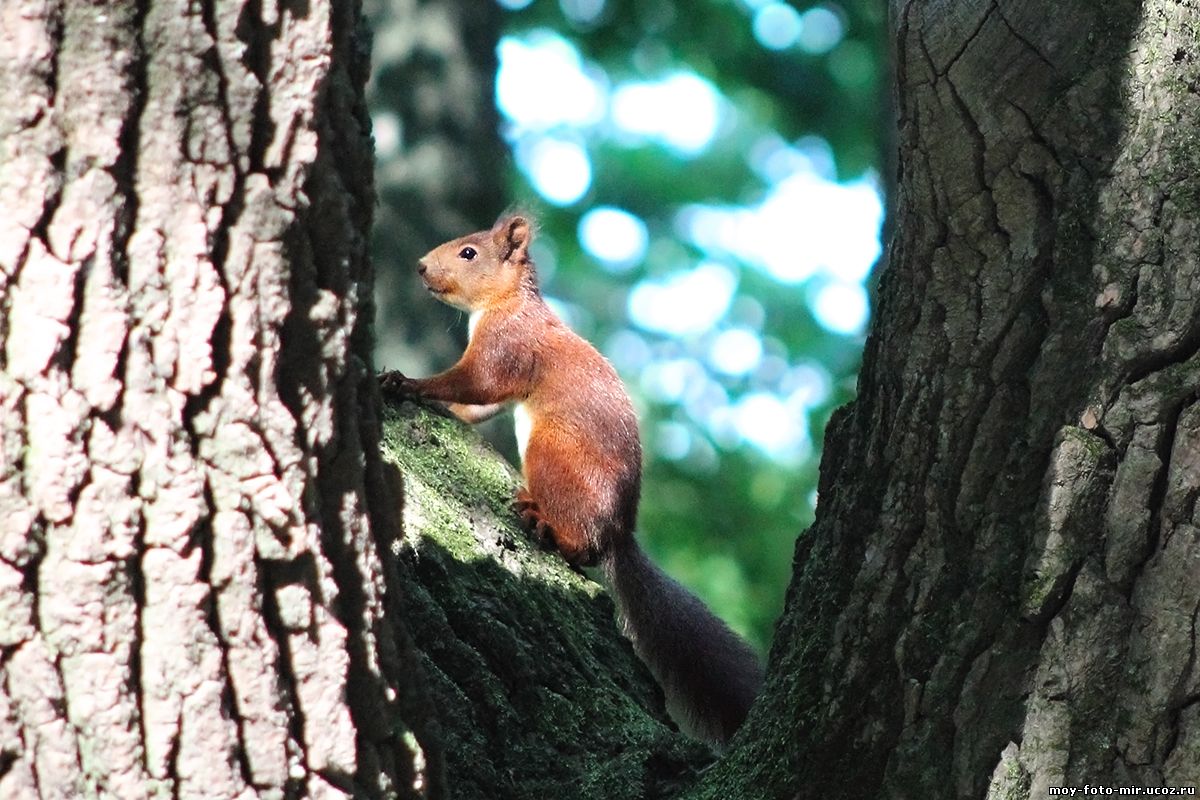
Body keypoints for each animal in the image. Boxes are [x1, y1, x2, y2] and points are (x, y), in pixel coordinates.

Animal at [379, 215, 763, 748]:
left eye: (469, 253)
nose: (419, 267)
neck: (506, 303)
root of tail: (618, 532)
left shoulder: (506, 346)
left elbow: (475, 382)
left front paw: (410, 384)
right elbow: (479, 407)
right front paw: (444, 406)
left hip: (551, 453)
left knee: (579, 544)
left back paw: (544, 522)